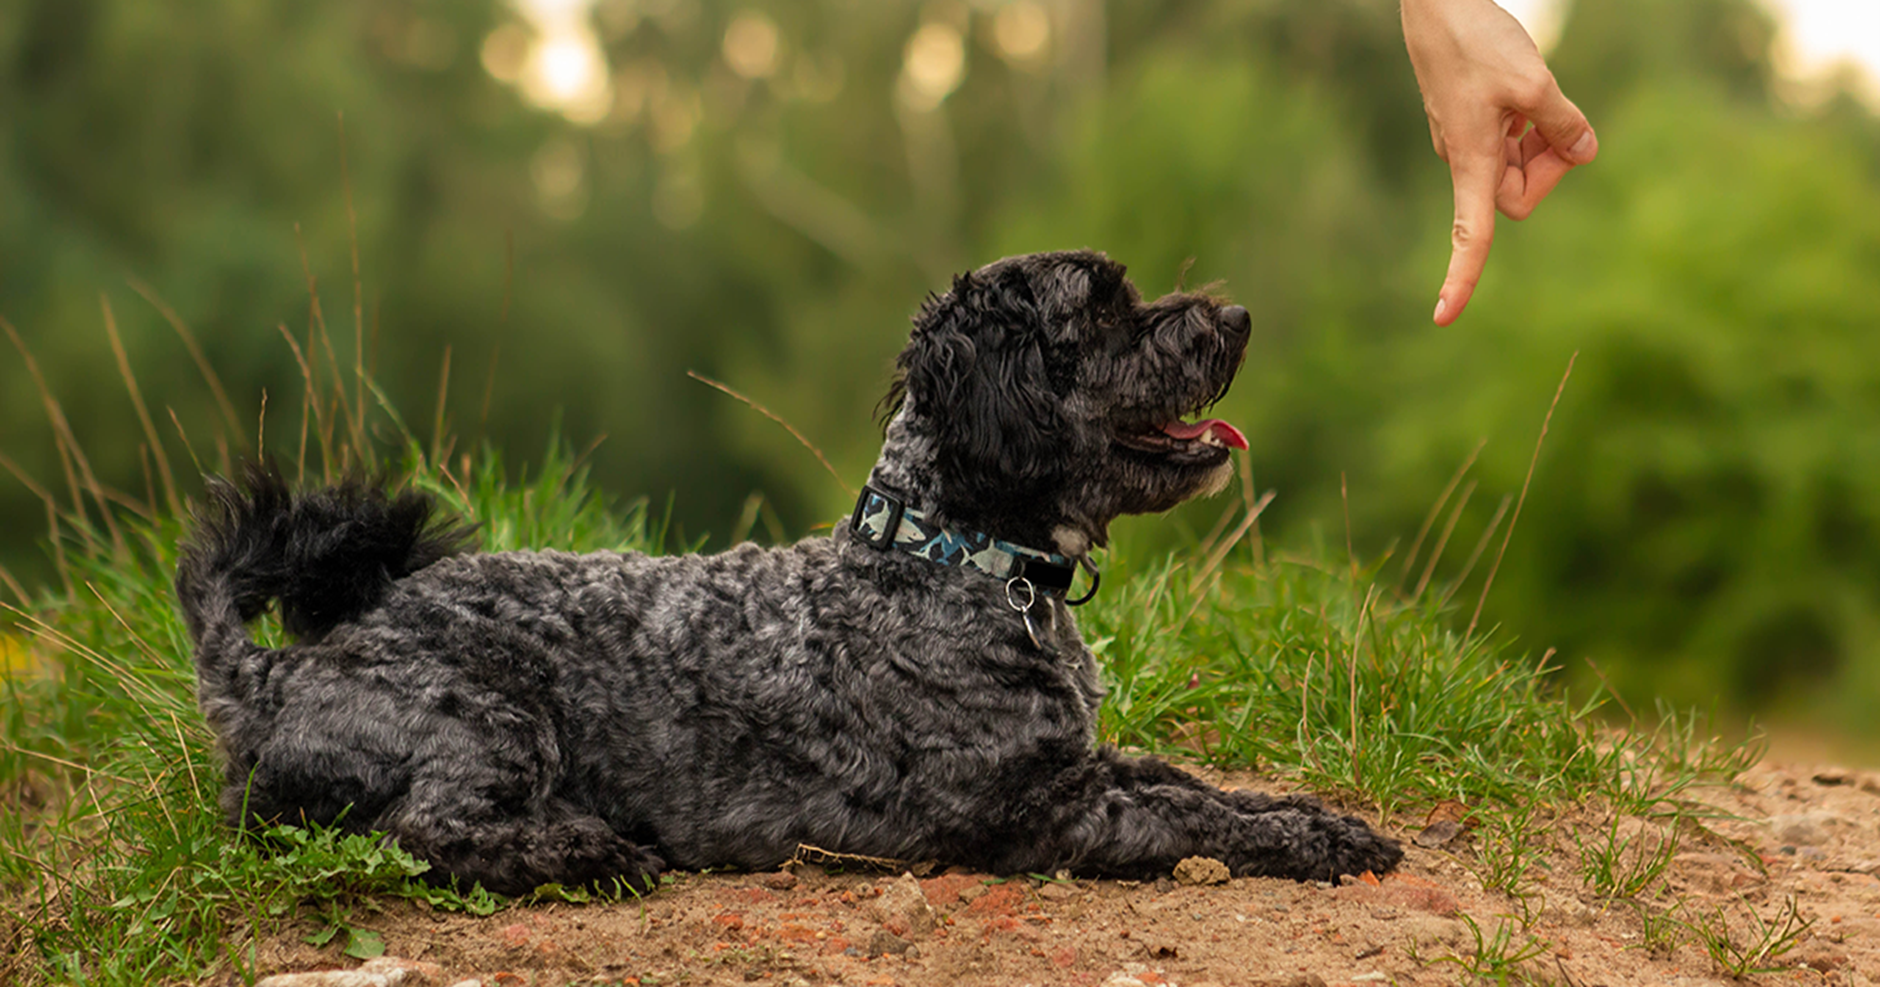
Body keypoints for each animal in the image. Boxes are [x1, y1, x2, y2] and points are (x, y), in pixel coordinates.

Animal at [176, 251, 1406, 891]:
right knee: (425, 831)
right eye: (1099, 312)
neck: (953, 558)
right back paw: (581, 849)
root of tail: (271, 675)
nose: (1236, 314)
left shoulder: (1081, 762)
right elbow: (1196, 815)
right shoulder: (1028, 812)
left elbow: (1198, 784)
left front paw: (1307, 812)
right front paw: (1313, 840)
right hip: (483, 715)